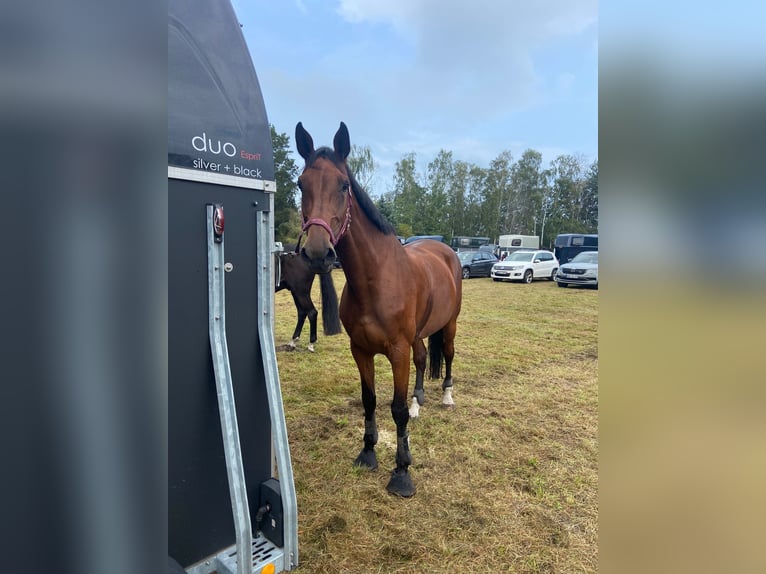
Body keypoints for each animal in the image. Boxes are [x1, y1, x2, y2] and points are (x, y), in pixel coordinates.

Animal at [294, 119, 462, 498]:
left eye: (343, 185)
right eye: (300, 183)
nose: (317, 253)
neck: (375, 279)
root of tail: (446, 251)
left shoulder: (397, 351)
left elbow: (395, 410)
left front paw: (402, 472)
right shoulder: (361, 350)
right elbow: (369, 399)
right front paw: (368, 453)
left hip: (449, 325)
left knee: (447, 353)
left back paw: (446, 396)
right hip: (418, 335)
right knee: (422, 359)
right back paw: (419, 402)